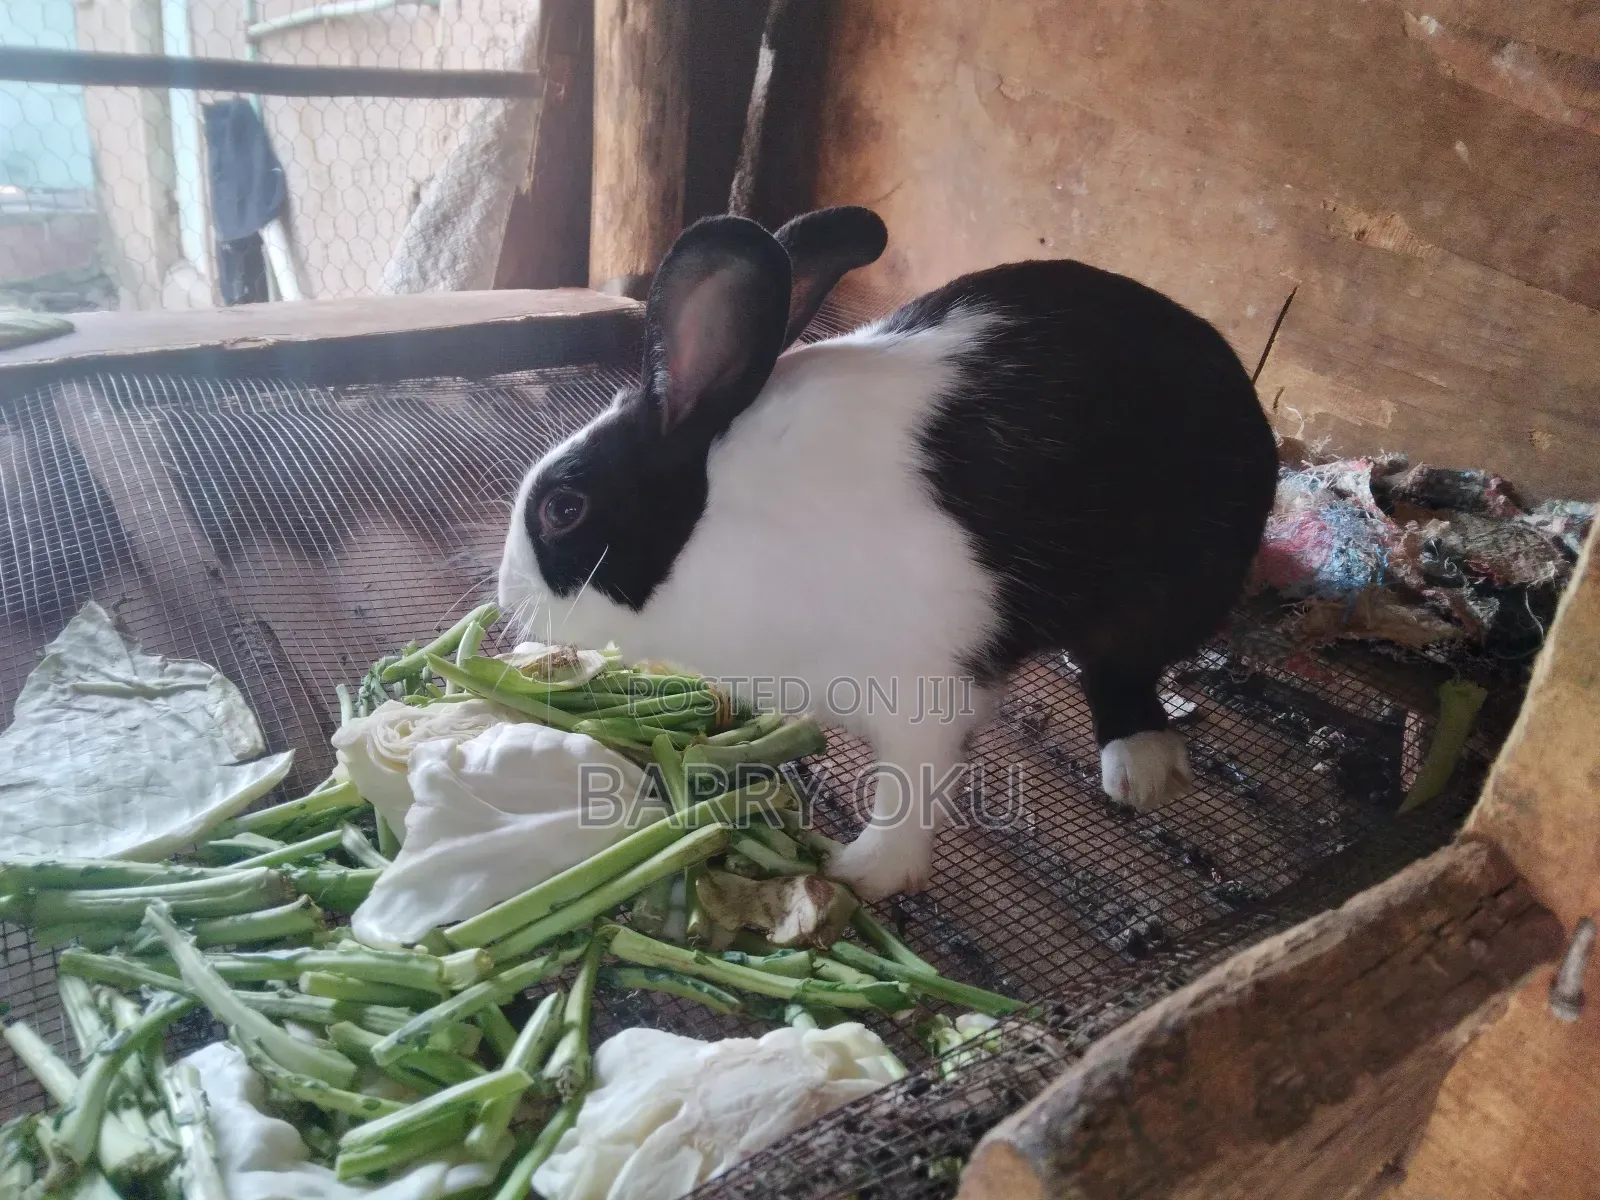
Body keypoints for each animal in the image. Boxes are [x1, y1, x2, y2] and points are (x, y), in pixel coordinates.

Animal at [498, 207, 1279, 902]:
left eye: (563, 510)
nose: (509, 599)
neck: (717, 528)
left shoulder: (924, 689)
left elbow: (908, 785)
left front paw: (867, 871)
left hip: (1167, 589)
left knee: (1124, 669)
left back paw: (1142, 768)